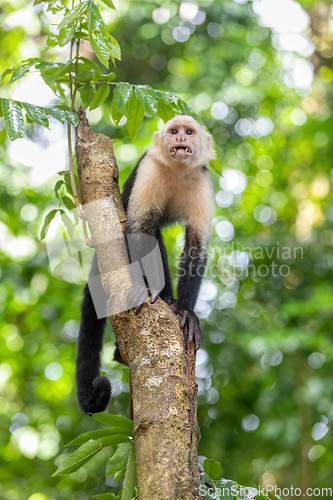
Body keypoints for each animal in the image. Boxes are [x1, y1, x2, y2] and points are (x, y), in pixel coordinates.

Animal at [75, 114, 215, 414]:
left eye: (189, 132)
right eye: (173, 131)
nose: (179, 138)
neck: (177, 171)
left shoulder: (203, 181)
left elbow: (195, 247)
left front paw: (186, 312)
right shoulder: (149, 168)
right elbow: (140, 230)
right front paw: (150, 293)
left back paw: (171, 302)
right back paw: (161, 297)